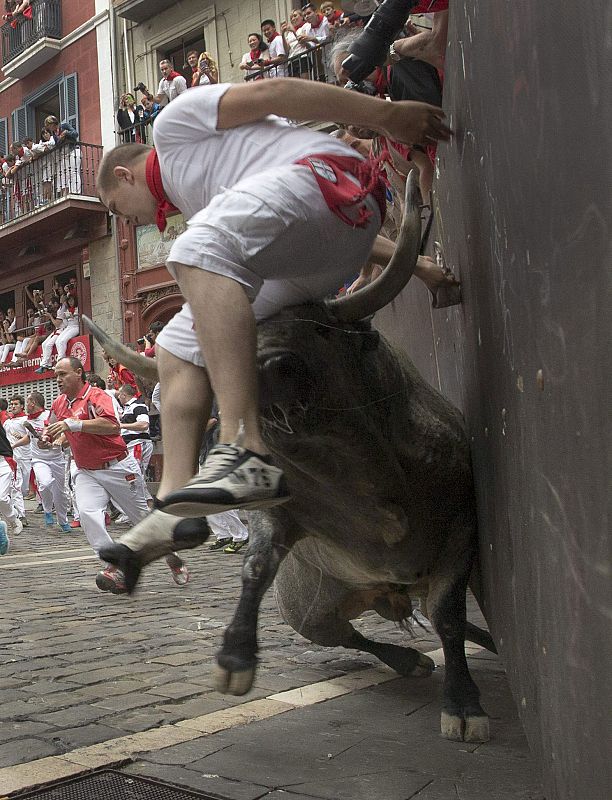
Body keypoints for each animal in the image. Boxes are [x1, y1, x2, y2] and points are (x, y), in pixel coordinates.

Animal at [86, 173, 494, 744]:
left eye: (319, 327)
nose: (266, 371)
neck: (359, 477)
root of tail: (386, 593)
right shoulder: (277, 512)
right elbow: (256, 566)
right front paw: (235, 658)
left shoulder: (461, 524)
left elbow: (449, 616)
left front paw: (464, 705)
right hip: (310, 612)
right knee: (350, 637)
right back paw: (407, 660)